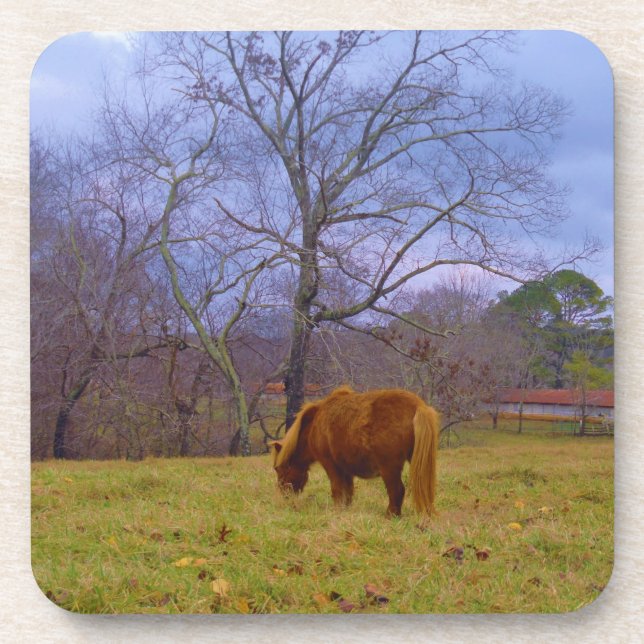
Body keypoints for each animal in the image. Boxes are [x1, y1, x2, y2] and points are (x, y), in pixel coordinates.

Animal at [269, 386, 439, 517]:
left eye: (278, 469)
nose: (285, 496)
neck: (314, 425)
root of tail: (418, 406)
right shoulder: (346, 469)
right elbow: (348, 492)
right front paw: (345, 510)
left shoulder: (331, 465)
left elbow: (337, 490)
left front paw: (337, 511)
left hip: (389, 468)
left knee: (397, 490)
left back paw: (390, 516)